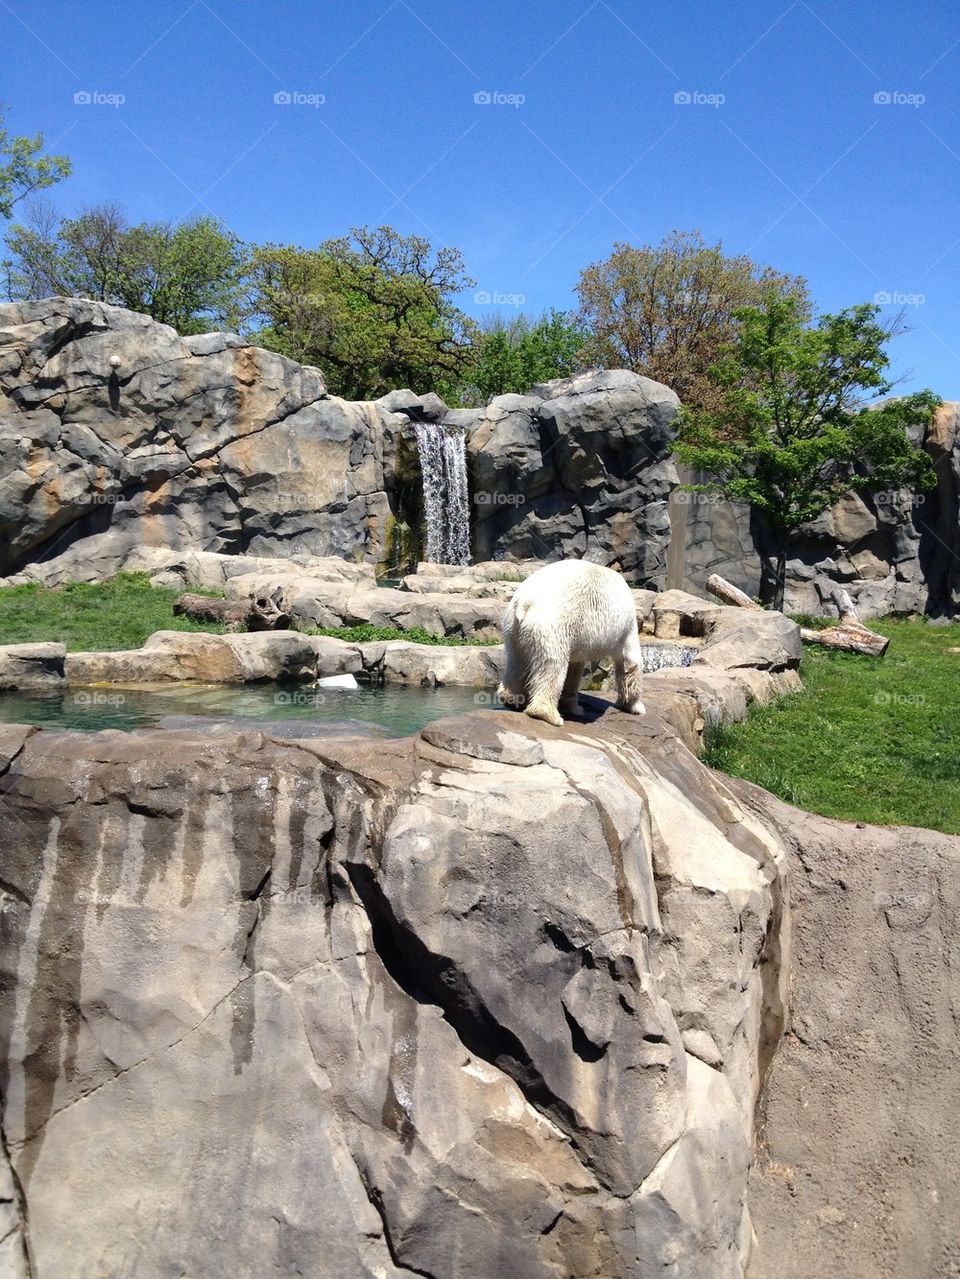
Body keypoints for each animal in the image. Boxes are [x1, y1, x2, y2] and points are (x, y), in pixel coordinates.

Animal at [496, 559, 646, 728]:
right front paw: (636, 706)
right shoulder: (626, 627)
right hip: (553, 626)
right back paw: (549, 715)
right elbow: (630, 662)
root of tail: (526, 602)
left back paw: (512, 698)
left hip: (512, 627)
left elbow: (574, 668)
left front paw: (574, 707)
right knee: (552, 665)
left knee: (517, 660)